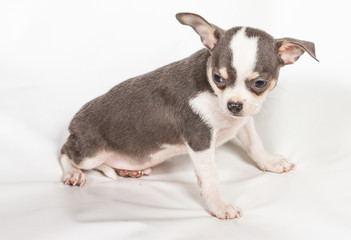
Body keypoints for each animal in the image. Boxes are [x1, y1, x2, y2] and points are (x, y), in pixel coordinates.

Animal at [59, 13, 320, 219]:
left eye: (259, 83)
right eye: (218, 78)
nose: (234, 105)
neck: (215, 98)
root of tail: (73, 124)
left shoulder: (244, 121)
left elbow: (255, 144)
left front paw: (270, 162)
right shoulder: (200, 140)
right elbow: (210, 177)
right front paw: (219, 206)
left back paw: (128, 170)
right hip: (89, 153)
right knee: (66, 153)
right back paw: (73, 173)